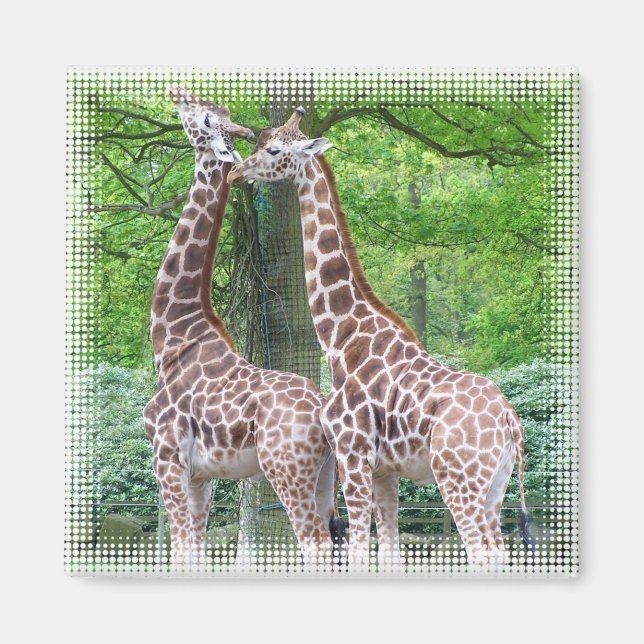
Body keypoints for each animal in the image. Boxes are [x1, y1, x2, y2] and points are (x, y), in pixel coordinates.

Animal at [143, 89, 339, 568]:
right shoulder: (202, 476)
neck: (173, 337)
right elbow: (194, 551)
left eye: (205, 118)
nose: (176, 93)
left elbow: (181, 550)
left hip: (286, 471)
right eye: (217, 113)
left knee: (314, 542)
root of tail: (322, 410)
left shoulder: (167, 459)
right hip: (326, 478)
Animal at [227, 109, 535, 569]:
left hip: (458, 478)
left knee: (480, 551)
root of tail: (510, 420)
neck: (341, 337)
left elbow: (357, 550)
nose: (235, 172)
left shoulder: (353, 455)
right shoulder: (384, 471)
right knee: (497, 550)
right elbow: (389, 552)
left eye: (275, 149)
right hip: (495, 485)